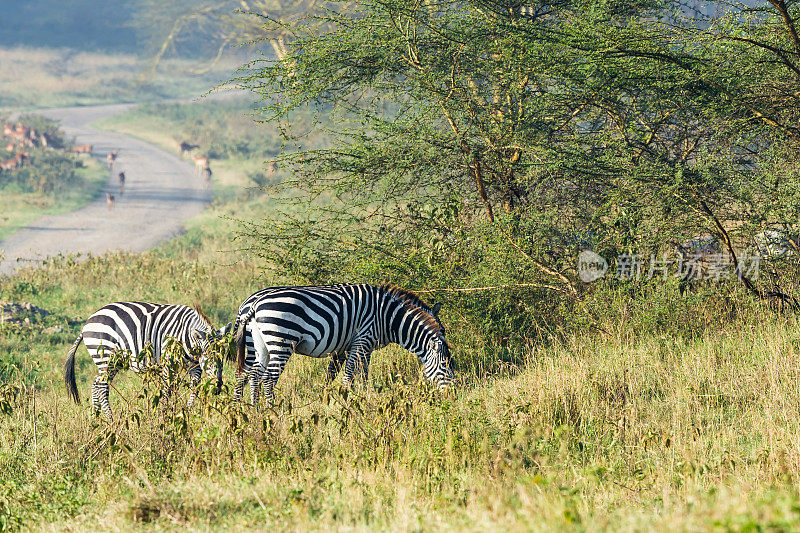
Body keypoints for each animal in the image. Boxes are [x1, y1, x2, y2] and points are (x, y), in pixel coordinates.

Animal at [64, 300, 230, 420]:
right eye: (208, 356)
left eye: (223, 356)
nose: (218, 387)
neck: (186, 337)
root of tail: (88, 321)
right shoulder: (168, 361)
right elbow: (167, 390)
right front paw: (164, 415)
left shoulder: (194, 365)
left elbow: (194, 386)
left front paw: (188, 412)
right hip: (106, 357)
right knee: (101, 386)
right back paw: (110, 419)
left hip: (111, 362)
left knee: (95, 385)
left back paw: (96, 417)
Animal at [233, 282, 456, 404]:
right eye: (446, 364)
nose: (454, 394)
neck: (386, 316)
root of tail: (253, 304)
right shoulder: (361, 339)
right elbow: (349, 375)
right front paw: (345, 402)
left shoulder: (364, 347)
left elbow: (363, 375)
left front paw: (364, 399)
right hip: (281, 342)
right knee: (268, 378)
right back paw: (271, 410)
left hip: (260, 345)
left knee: (250, 375)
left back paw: (251, 409)